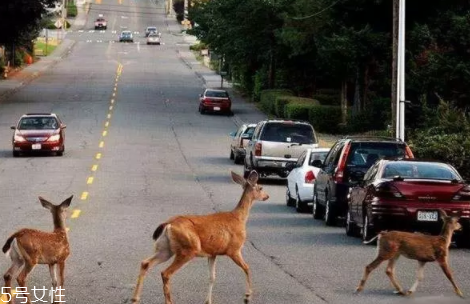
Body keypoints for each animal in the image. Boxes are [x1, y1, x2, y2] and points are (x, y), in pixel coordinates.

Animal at [132, 171, 270, 304]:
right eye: (261, 187)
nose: (267, 196)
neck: (239, 218)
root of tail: (168, 224)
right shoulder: (234, 249)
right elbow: (247, 268)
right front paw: (247, 297)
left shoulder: (213, 253)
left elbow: (212, 277)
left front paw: (208, 301)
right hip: (188, 249)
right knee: (165, 273)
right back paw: (168, 301)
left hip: (166, 249)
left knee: (145, 263)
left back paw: (135, 299)